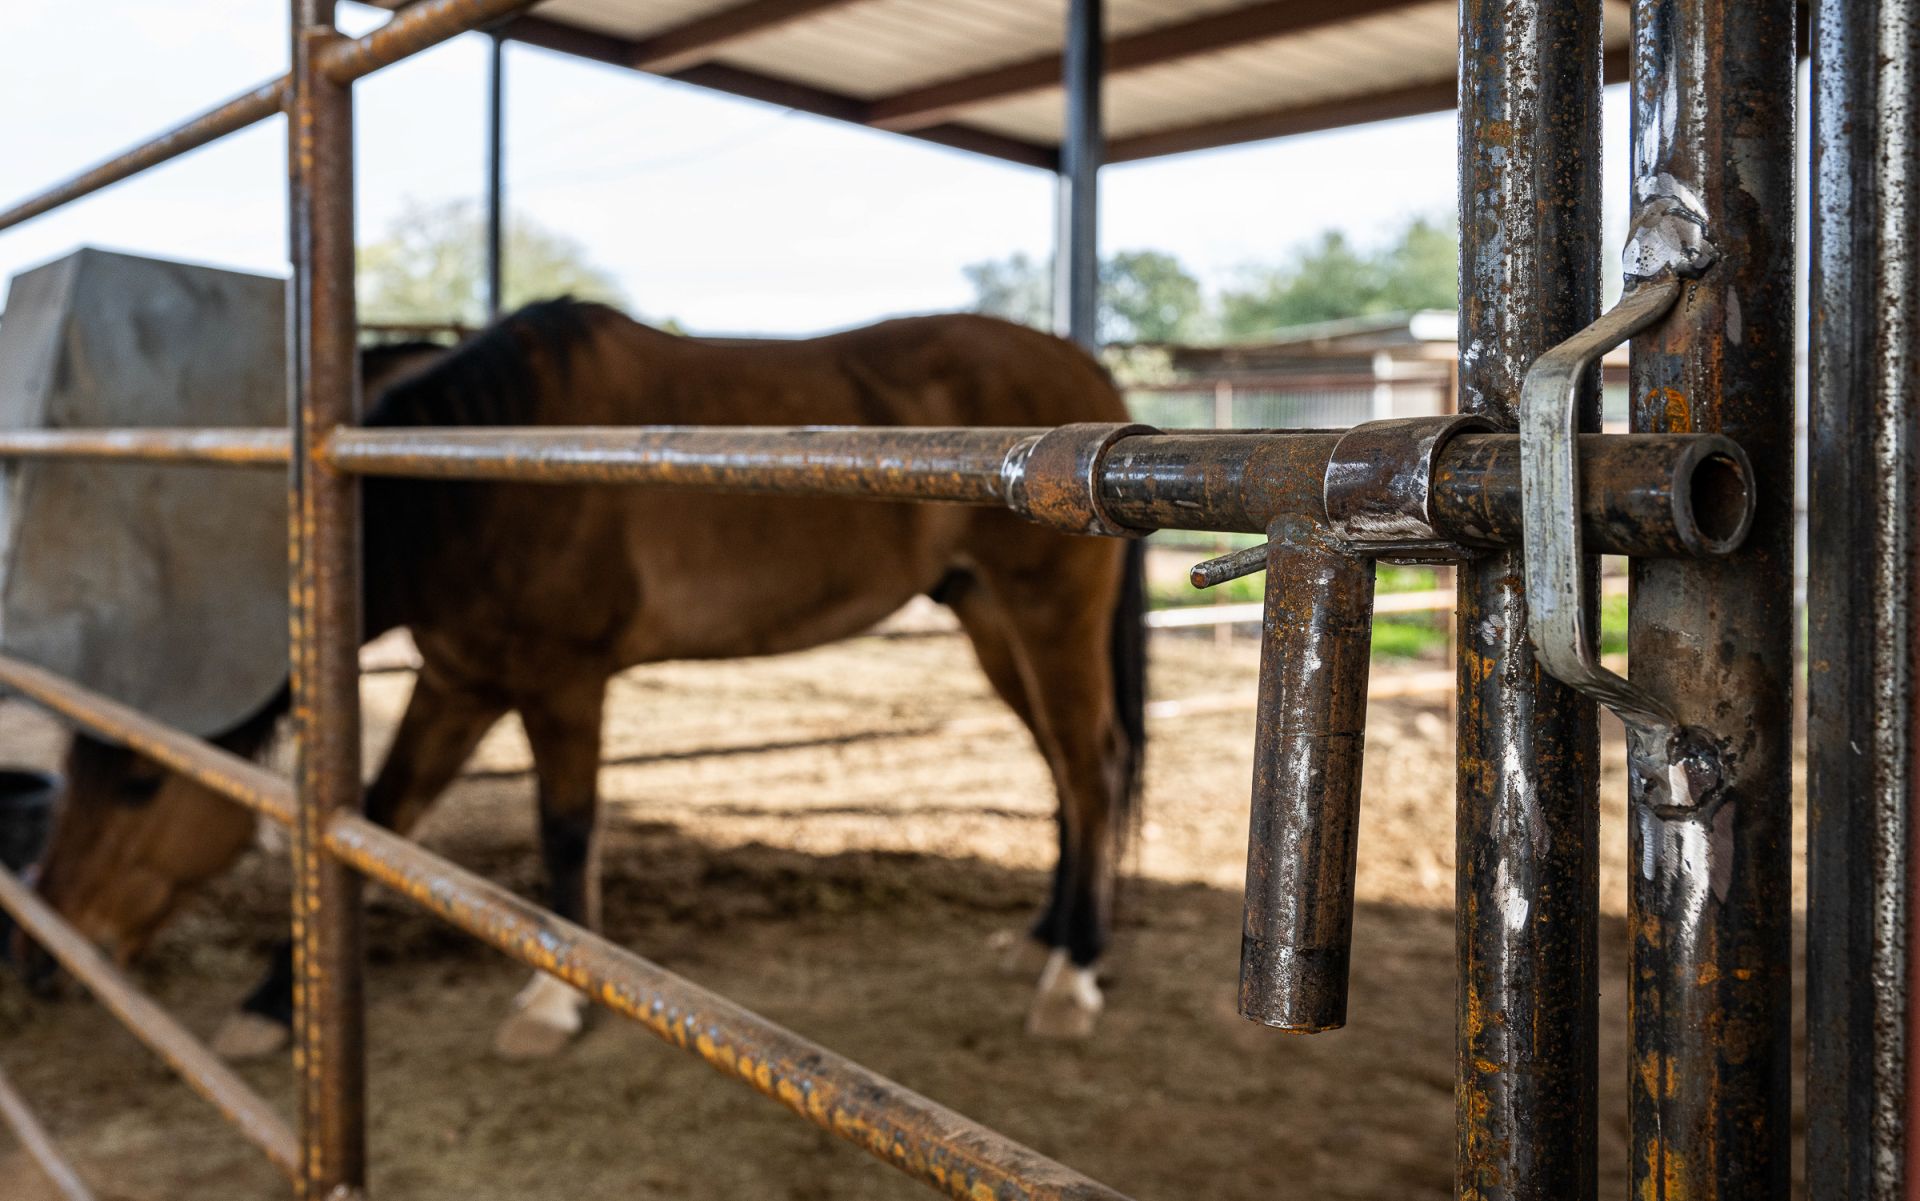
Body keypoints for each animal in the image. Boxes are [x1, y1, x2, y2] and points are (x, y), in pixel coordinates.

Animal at [21, 298, 1147, 1058]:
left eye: (141, 783)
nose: (39, 957)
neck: (477, 483)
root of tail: (1092, 377)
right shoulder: (461, 682)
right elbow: (378, 814)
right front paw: (271, 1004)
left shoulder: (563, 683)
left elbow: (565, 828)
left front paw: (550, 999)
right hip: (987, 619)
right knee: (1063, 769)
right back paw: (1048, 936)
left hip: (1047, 615)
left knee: (1091, 768)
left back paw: (1075, 978)